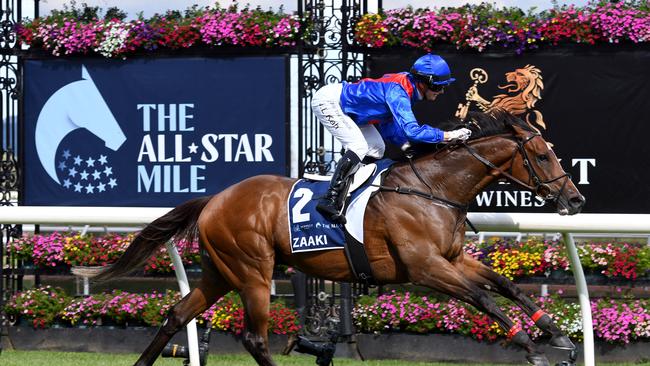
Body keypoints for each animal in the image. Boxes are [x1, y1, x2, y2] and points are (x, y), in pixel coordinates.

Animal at [73, 110, 584, 366]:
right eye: (542, 155)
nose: (575, 200)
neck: (432, 189)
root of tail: (216, 198)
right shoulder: (424, 267)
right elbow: (483, 299)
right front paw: (531, 348)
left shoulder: (453, 258)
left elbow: (505, 285)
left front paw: (557, 334)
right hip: (252, 271)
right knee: (254, 338)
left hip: (220, 271)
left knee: (176, 315)